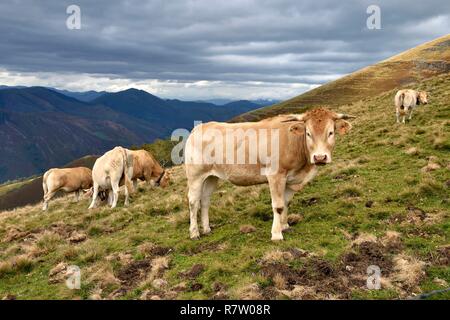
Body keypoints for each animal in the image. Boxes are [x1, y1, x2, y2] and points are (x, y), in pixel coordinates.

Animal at [184, 107, 356, 240]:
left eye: (331, 132)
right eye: (308, 133)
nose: (320, 157)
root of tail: (199, 128)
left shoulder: (290, 179)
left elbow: (286, 202)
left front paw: (285, 225)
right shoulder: (275, 176)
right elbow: (278, 206)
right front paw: (277, 234)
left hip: (211, 176)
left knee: (205, 201)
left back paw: (207, 229)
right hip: (195, 175)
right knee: (193, 201)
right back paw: (194, 233)